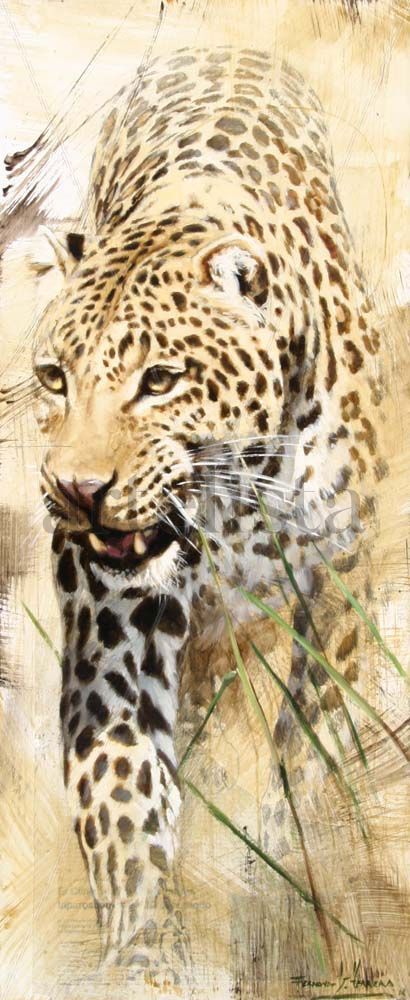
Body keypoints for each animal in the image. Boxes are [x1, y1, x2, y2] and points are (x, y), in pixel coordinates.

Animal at [21, 45, 388, 971]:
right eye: (54, 379)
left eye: (160, 380)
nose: (77, 490)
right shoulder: (114, 612)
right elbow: (121, 787)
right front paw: (141, 951)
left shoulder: (340, 580)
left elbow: (317, 744)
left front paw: (298, 865)